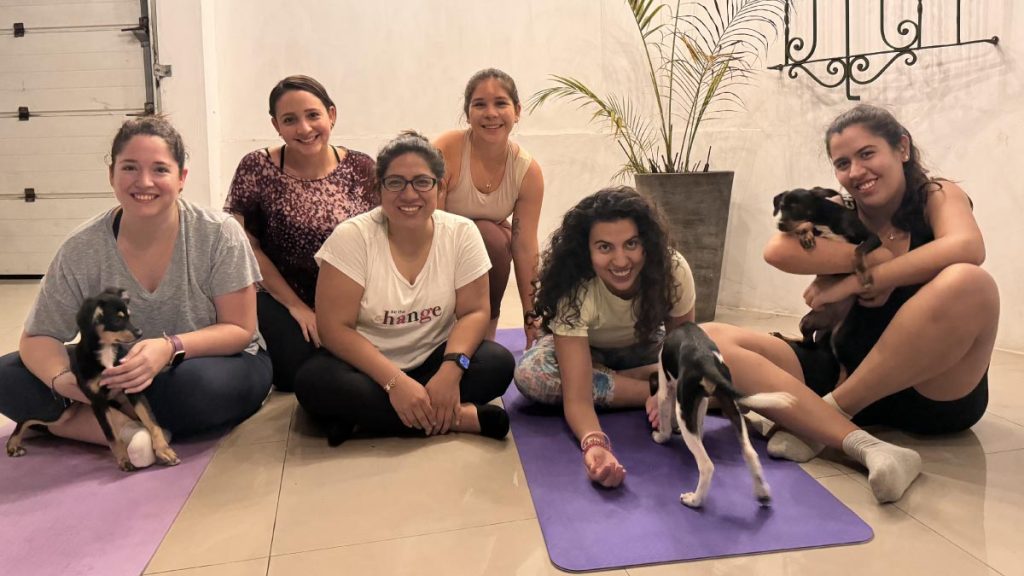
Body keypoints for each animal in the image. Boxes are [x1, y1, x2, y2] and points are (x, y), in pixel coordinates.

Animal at [6, 286, 180, 471]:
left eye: (129, 316)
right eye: (117, 321)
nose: (139, 332)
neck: (106, 352)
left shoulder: (132, 388)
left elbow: (151, 422)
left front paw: (164, 450)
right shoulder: (98, 402)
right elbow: (111, 436)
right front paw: (123, 460)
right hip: (60, 412)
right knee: (26, 419)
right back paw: (13, 444)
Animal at [651, 323, 794, 506]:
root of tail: (705, 362)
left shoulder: (665, 391)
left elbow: (665, 425)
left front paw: (660, 436)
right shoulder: (702, 400)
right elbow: (700, 424)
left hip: (687, 411)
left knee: (707, 466)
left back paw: (694, 500)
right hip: (731, 407)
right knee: (750, 453)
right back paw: (762, 492)